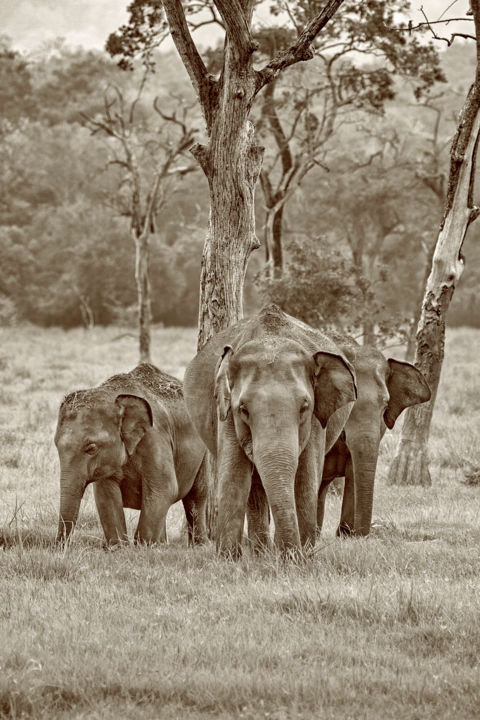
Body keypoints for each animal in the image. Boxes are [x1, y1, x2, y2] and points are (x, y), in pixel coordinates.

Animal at [54, 362, 208, 548]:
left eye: (91, 448)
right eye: (56, 446)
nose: (61, 547)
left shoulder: (154, 437)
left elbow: (165, 488)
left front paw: (142, 547)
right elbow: (106, 495)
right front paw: (118, 548)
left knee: (196, 495)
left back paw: (199, 546)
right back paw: (162, 545)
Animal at [184, 304, 356, 556]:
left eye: (304, 407)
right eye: (243, 409)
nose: (291, 554)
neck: (270, 337)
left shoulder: (316, 420)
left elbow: (305, 478)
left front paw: (299, 556)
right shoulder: (226, 413)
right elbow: (234, 475)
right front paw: (228, 558)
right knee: (255, 489)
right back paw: (260, 552)